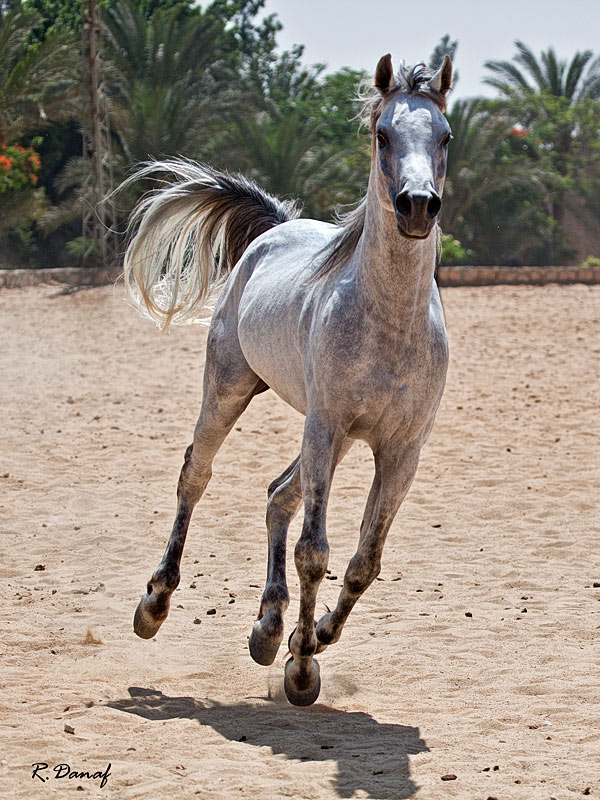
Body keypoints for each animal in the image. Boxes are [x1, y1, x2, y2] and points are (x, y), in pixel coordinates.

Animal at [125, 54, 454, 708]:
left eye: (446, 136)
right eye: (383, 135)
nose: (417, 206)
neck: (391, 326)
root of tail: (273, 229)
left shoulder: (401, 451)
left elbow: (363, 561)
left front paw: (312, 638)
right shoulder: (326, 426)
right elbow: (314, 552)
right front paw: (302, 670)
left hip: (334, 439)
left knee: (279, 495)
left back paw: (268, 628)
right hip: (233, 391)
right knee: (195, 476)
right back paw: (156, 603)